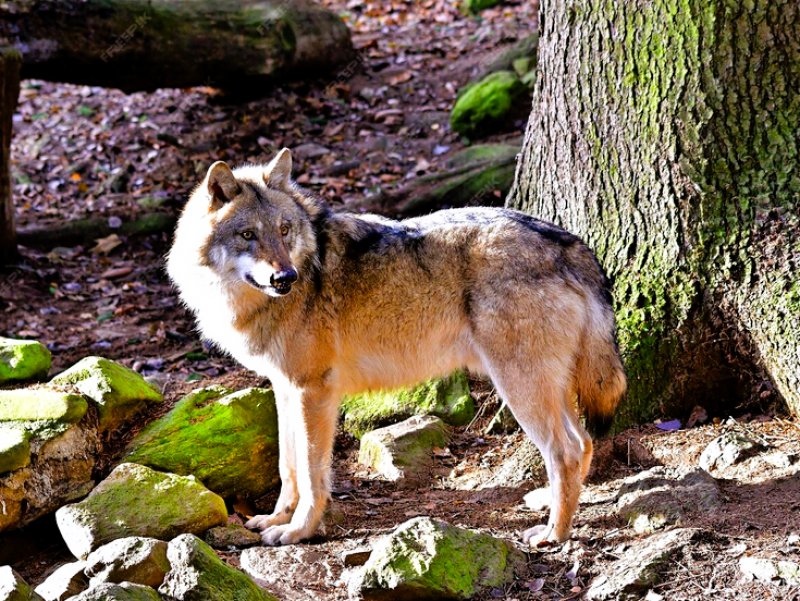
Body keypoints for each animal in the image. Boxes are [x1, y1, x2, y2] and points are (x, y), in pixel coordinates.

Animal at [167, 148, 627, 547]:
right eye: (248, 235)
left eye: (284, 230)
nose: (286, 278)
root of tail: (569, 243)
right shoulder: (285, 388)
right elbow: (288, 465)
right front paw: (276, 518)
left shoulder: (314, 390)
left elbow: (314, 474)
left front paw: (299, 530)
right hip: (547, 386)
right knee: (584, 443)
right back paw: (549, 504)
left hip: (519, 386)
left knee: (565, 451)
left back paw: (553, 533)